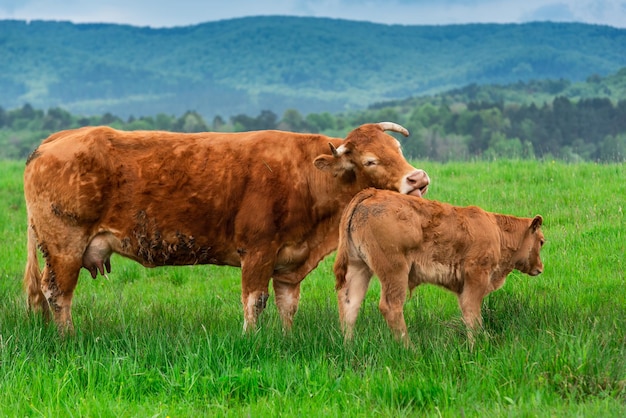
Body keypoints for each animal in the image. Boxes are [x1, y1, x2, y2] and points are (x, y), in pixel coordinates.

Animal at [22, 121, 426, 334]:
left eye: (398, 150)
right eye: (371, 160)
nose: (418, 179)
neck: (307, 177)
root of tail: (59, 138)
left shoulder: (290, 260)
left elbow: (288, 303)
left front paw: (287, 338)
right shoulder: (258, 251)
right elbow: (254, 300)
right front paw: (252, 339)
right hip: (65, 246)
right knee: (58, 293)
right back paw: (68, 338)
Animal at [332, 189, 540, 346]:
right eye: (542, 241)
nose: (540, 268)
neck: (497, 231)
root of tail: (372, 193)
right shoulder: (476, 277)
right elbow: (473, 313)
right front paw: (477, 344)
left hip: (359, 267)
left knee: (349, 304)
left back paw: (348, 345)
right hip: (395, 271)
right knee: (391, 306)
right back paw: (409, 348)